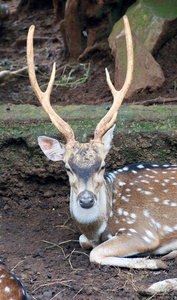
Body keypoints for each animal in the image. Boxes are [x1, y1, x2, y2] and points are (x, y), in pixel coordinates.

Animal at [26, 15, 177, 270]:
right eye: (67, 167)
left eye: (103, 165)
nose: (86, 199)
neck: (101, 224)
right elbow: (84, 241)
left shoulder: (142, 230)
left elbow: (96, 253)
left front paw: (155, 261)